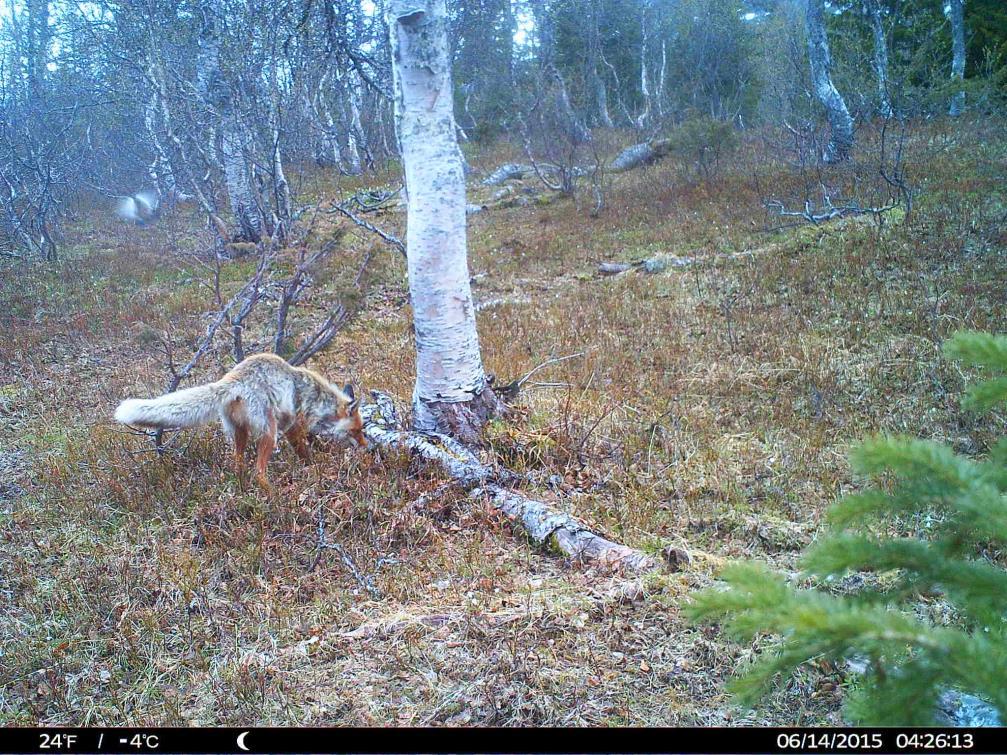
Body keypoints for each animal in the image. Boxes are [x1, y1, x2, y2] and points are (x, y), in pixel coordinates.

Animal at [115, 354, 366, 491]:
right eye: (357, 430)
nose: (366, 446)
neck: (319, 399)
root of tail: (230, 380)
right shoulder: (293, 426)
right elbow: (306, 451)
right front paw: (314, 468)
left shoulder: (293, 426)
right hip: (269, 432)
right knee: (259, 472)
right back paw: (274, 497)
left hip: (240, 432)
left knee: (238, 465)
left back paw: (243, 490)